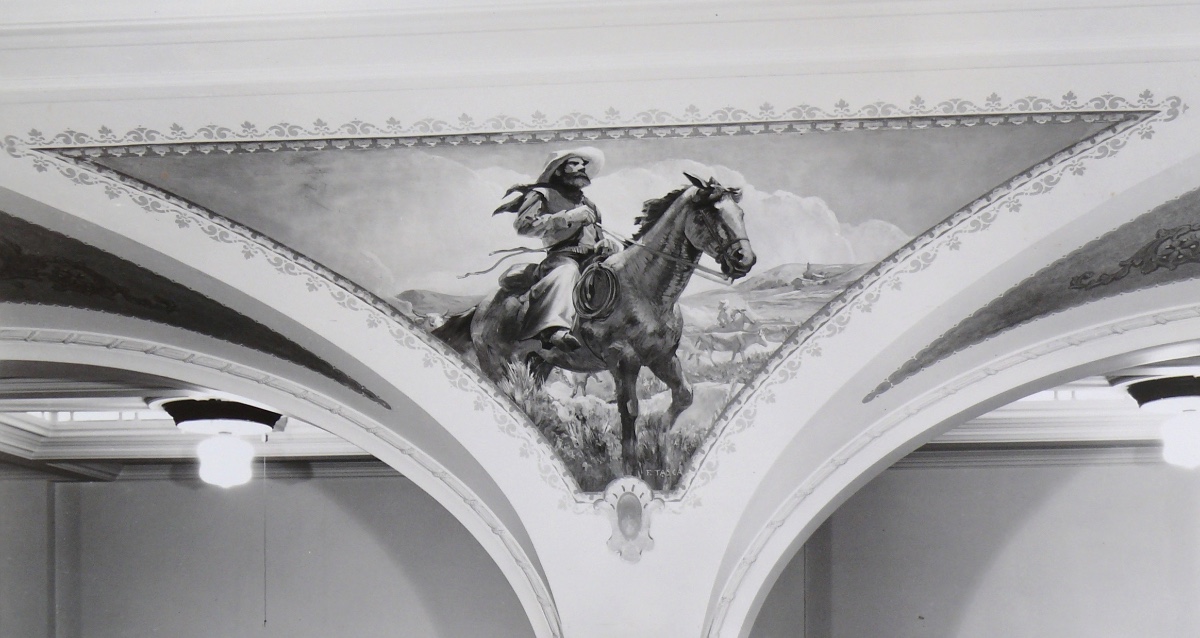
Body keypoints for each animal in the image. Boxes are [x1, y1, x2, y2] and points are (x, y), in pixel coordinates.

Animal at [436, 173, 753, 472]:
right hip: (499, 366)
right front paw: (631, 465)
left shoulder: (662, 357)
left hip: (538, 363)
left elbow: (684, 396)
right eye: (709, 214)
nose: (745, 259)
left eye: (741, 213)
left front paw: (660, 444)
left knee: (534, 397)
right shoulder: (623, 361)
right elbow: (629, 409)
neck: (642, 287)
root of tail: (481, 307)